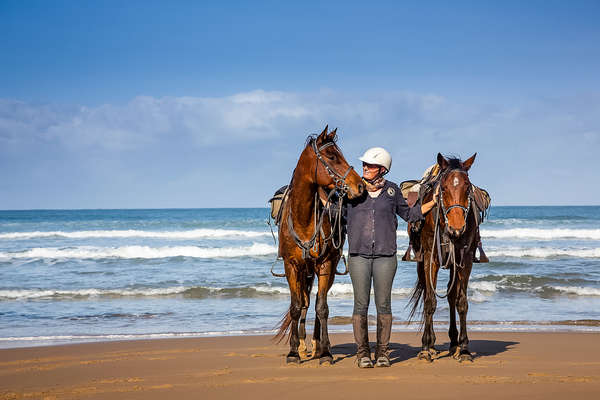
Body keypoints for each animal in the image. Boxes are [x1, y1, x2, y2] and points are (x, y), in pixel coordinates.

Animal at [274, 126, 364, 364]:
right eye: (332, 157)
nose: (360, 186)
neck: (303, 219)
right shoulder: (291, 266)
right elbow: (296, 306)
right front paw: (293, 352)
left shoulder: (325, 264)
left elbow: (322, 307)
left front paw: (325, 352)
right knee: (305, 301)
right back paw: (304, 345)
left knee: (316, 301)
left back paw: (317, 345)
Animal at [408, 152, 478, 362]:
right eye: (444, 188)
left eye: (467, 187)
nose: (457, 228)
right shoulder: (431, 259)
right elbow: (430, 301)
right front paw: (426, 347)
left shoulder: (465, 259)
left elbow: (461, 302)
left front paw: (464, 349)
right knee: (428, 295)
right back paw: (430, 345)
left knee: (451, 295)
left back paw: (454, 342)